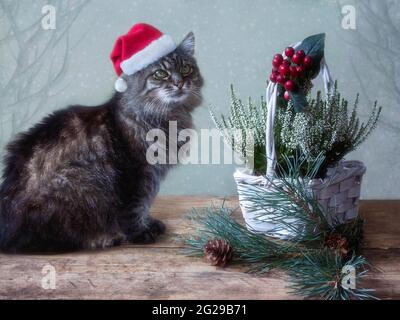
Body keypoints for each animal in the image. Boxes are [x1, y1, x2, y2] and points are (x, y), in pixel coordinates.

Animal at [0, 32, 203, 252]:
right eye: (160, 74)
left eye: (186, 69)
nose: (179, 83)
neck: (169, 118)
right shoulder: (137, 173)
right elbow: (136, 207)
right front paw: (140, 233)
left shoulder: (152, 177)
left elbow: (146, 203)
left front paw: (149, 223)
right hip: (77, 182)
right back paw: (104, 237)